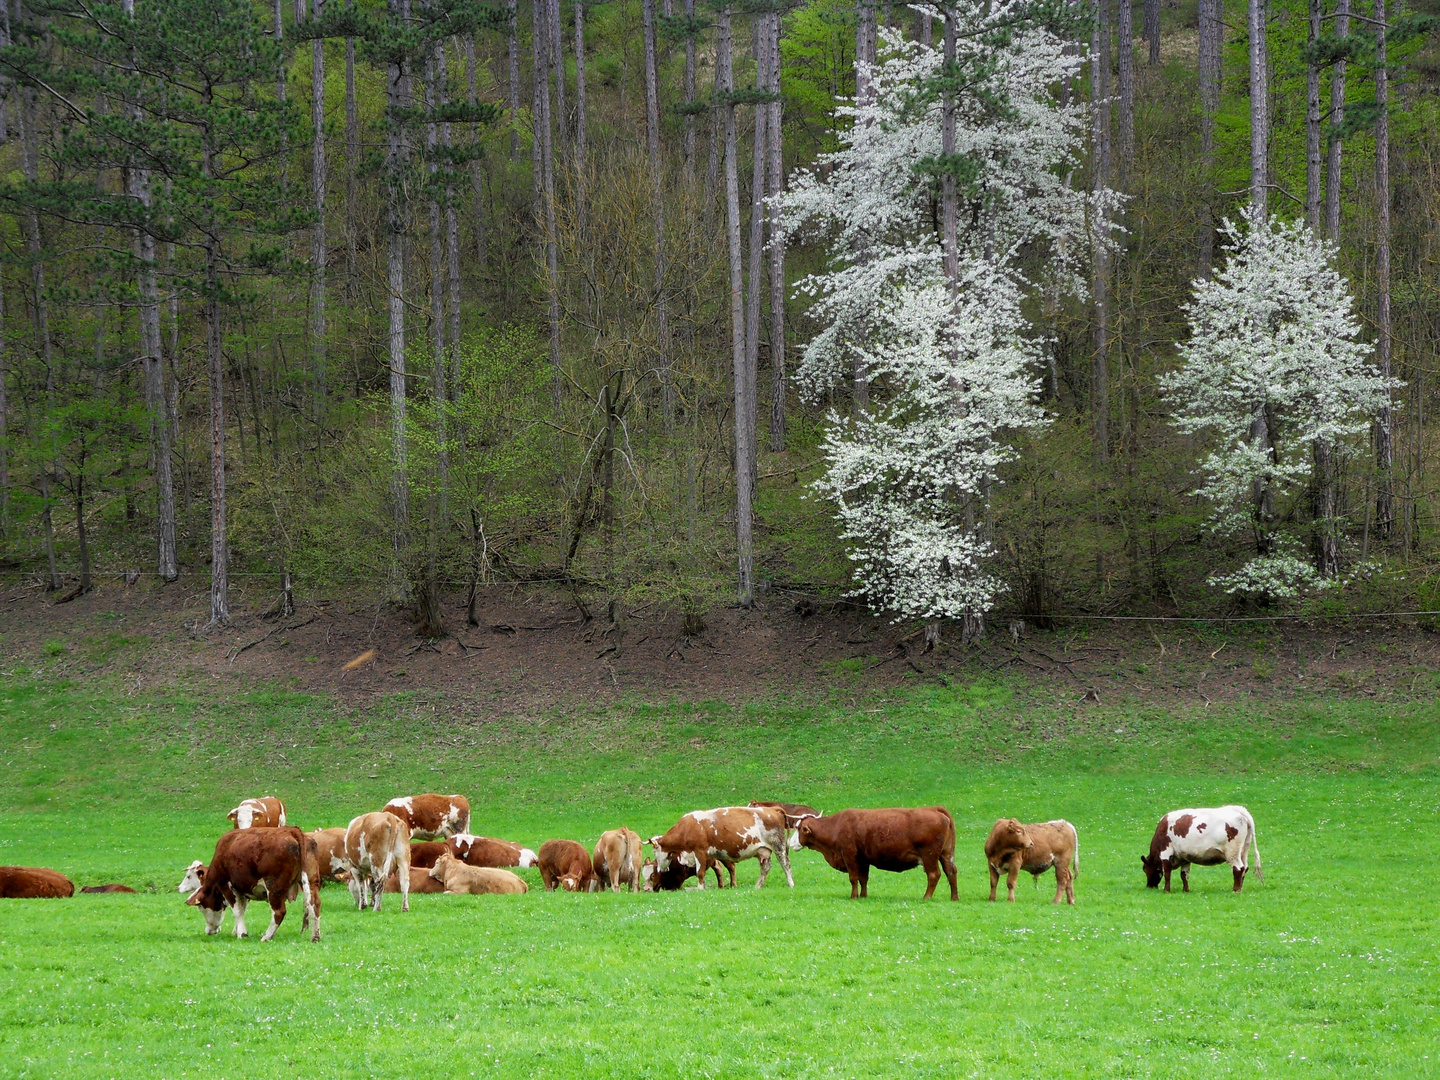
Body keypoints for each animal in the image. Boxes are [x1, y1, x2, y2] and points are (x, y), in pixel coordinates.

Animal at [184, 823, 319, 944]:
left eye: (201, 908)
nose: (209, 931)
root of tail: (291, 830)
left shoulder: (227, 886)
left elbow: (237, 910)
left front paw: (242, 933)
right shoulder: (243, 890)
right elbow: (242, 910)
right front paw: (237, 931)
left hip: (274, 887)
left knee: (279, 911)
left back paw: (266, 937)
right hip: (311, 881)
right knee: (315, 904)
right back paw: (315, 936)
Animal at [648, 806, 794, 892]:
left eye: (654, 851)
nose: (661, 869)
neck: (687, 827)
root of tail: (772, 809)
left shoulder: (700, 851)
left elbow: (700, 872)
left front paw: (700, 888)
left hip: (779, 846)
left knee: (785, 864)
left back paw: (791, 883)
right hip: (763, 851)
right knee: (765, 868)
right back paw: (757, 886)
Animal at [800, 806, 956, 898]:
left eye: (799, 828)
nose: (794, 844)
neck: (837, 825)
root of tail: (934, 809)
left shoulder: (849, 855)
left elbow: (853, 878)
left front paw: (853, 896)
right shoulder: (863, 860)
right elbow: (863, 878)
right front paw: (863, 896)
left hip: (929, 856)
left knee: (934, 874)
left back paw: (926, 897)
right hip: (946, 854)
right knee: (951, 872)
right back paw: (954, 897)